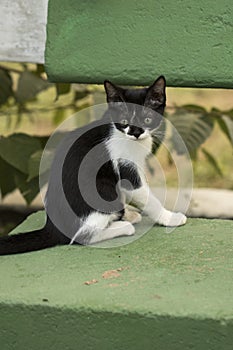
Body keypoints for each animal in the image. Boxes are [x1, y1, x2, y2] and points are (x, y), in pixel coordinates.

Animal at [0, 75, 186, 254]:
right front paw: (169, 218)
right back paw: (123, 227)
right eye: (124, 121)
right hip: (102, 189)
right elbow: (146, 197)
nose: (136, 133)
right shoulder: (124, 165)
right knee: (81, 237)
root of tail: (53, 228)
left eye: (147, 119)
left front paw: (127, 213)